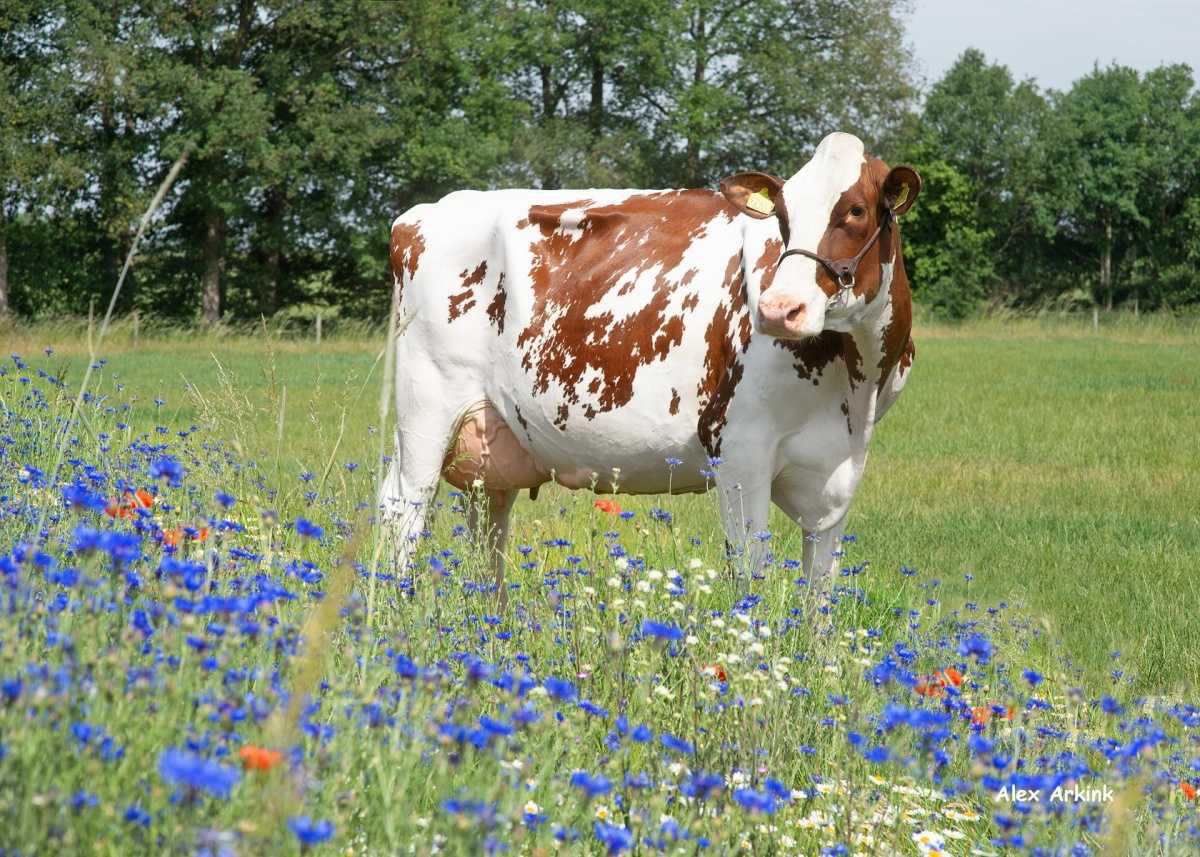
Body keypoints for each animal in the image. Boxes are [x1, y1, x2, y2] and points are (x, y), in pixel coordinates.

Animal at [381, 130, 916, 597]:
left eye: (856, 210)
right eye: (783, 215)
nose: (778, 309)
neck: (855, 384)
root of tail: (425, 212)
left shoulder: (838, 469)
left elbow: (819, 596)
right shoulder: (740, 448)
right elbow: (749, 575)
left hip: (491, 438)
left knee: (488, 527)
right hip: (425, 412)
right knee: (402, 510)